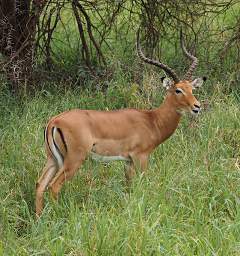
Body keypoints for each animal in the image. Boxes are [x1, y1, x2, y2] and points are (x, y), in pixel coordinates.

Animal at [35, 29, 206, 216]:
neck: (152, 120)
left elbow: (129, 187)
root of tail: (55, 121)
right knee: (54, 186)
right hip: (74, 159)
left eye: (192, 89)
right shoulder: (140, 157)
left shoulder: (127, 161)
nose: (197, 106)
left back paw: (38, 218)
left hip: (53, 159)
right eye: (178, 90)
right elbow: (142, 184)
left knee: (40, 184)